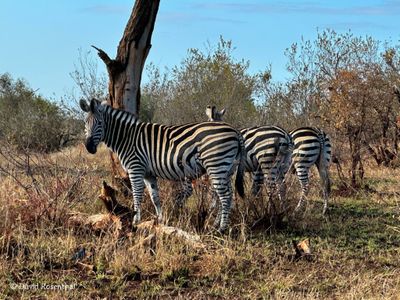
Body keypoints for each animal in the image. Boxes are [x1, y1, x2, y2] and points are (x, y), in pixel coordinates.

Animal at [79, 98, 245, 232]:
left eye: (100, 123)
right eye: (85, 123)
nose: (89, 147)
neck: (127, 137)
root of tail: (235, 130)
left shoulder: (135, 168)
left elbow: (137, 195)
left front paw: (135, 222)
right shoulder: (148, 174)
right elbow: (155, 197)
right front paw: (160, 220)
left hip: (216, 165)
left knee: (225, 196)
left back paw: (222, 229)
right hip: (227, 168)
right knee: (226, 195)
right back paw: (217, 224)